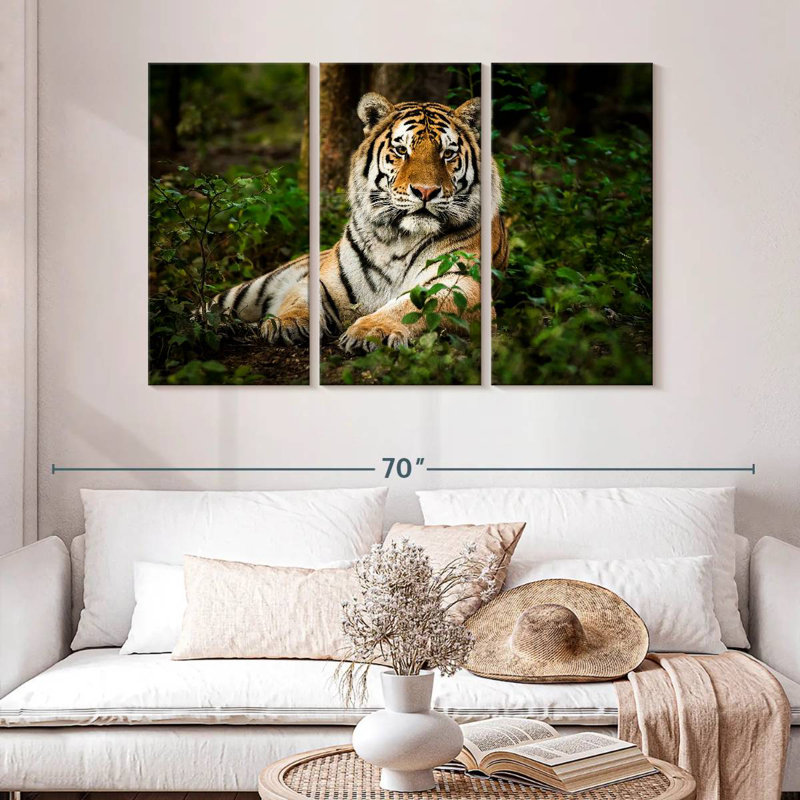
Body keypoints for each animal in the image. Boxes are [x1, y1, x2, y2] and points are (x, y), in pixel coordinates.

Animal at [210, 92, 508, 352]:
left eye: (447, 154)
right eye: (401, 150)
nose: (425, 191)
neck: (398, 239)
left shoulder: (460, 284)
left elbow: (413, 306)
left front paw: (372, 331)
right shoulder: (324, 280)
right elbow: (299, 298)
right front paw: (287, 322)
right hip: (250, 291)